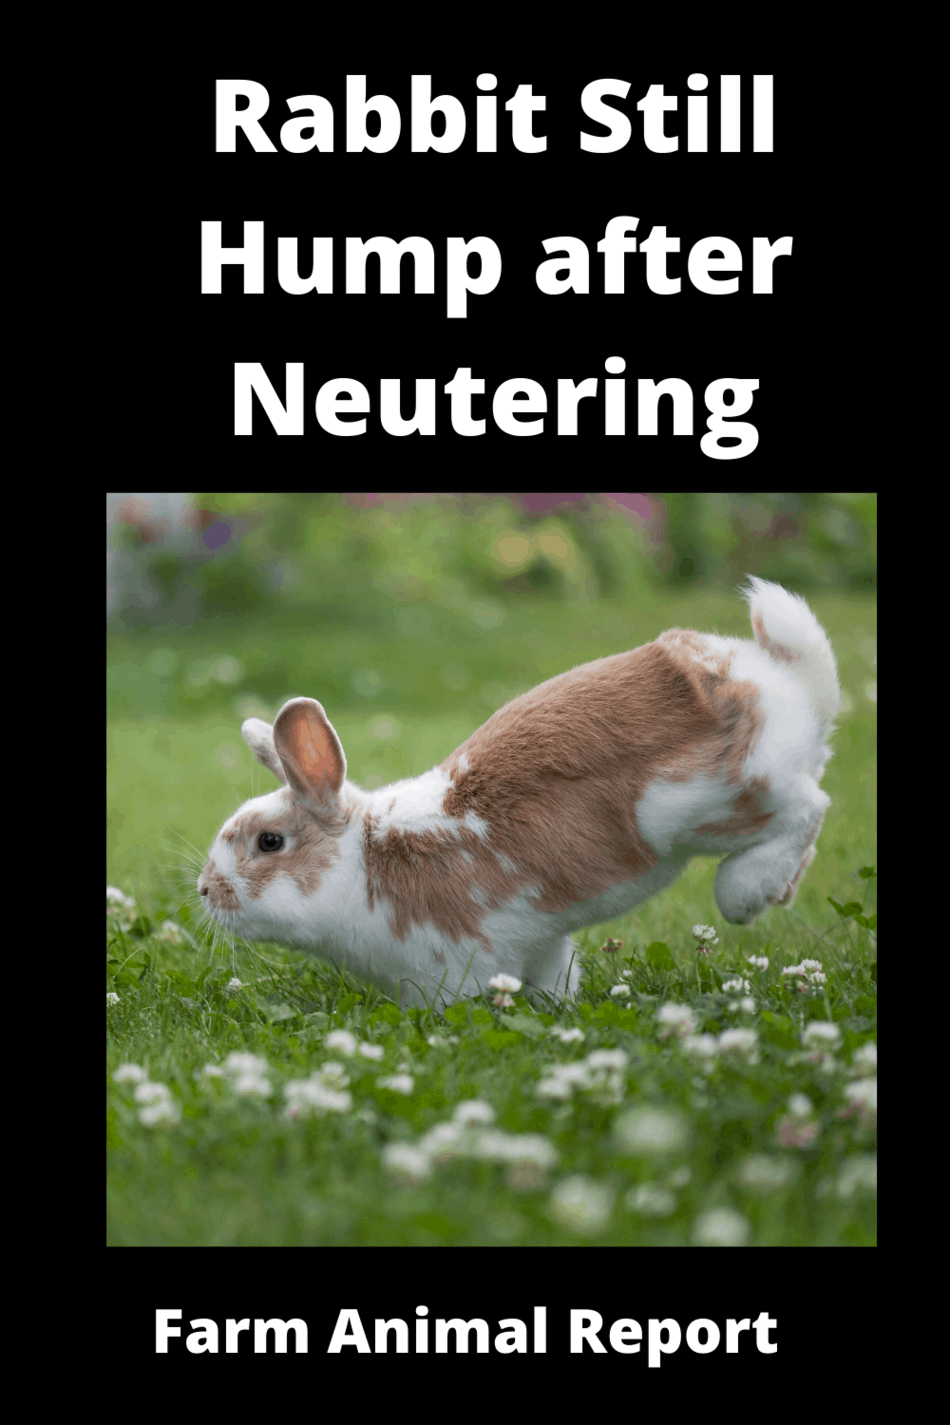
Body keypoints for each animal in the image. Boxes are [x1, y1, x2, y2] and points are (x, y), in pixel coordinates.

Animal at [198, 577, 840, 1009]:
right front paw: (558, 1010)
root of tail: (784, 680)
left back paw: (745, 893)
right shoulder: (541, 943)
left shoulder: (451, 966)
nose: (205, 890)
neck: (365, 859)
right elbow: (555, 978)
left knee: (808, 808)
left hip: (708, 805)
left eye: (269, 842)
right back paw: (777, 892)